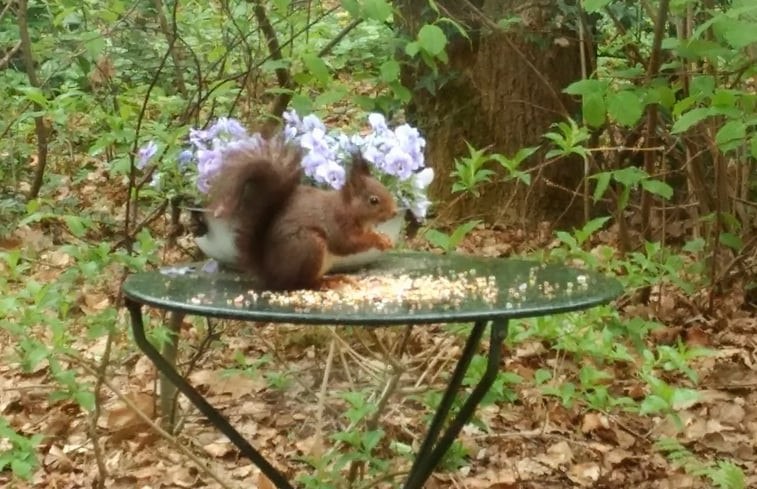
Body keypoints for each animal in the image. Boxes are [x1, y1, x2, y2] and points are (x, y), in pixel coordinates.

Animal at [204, 136, 398, 290]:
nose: (395, 212)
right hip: (309, 246)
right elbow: (347, 243)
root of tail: (270, 272)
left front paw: (384, 238)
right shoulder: (337, 223)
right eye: (373, 200)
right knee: (300, 283)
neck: (349, 209)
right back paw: (324, 282)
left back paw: (335, 278)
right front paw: (378, 240)